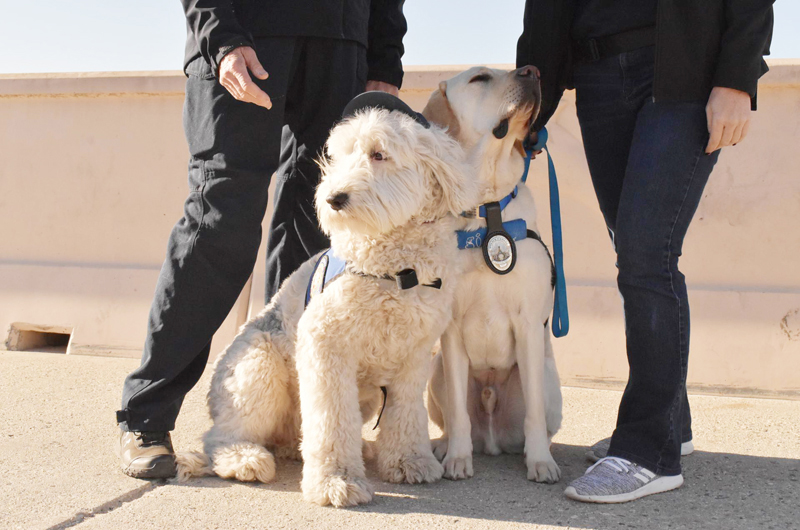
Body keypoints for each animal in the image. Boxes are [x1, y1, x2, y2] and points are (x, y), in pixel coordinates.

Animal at [176, 101, 478, 506]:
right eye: (339, 157)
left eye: (378, 154)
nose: (334, 198)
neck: (396, 271)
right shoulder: (326, 345)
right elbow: (332, 419)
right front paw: (337, 481)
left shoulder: (414, 356)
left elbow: (406, 414)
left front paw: (409, 461)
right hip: (257, 367)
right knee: (221, 435)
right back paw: (245, 459)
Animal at [422, 66, 564, 482]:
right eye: (480, 78)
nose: (533, 71)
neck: (487, 210)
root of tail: (493, 439)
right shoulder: (451, 330)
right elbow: (457, 413)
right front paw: (457, 458)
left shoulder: (529, 324)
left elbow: (534, 416)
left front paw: (540, 462)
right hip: (436, 372)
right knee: (456, 418)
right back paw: (443, 446)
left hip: (549, 382)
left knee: (539, 418)